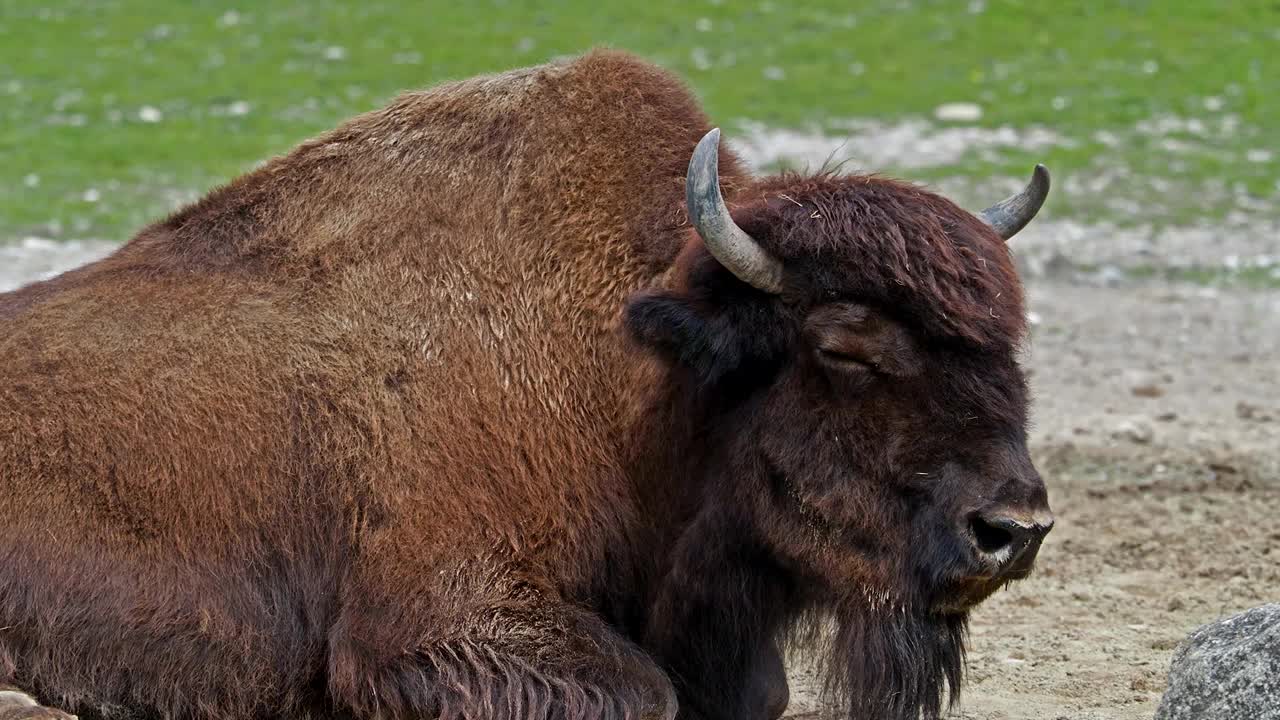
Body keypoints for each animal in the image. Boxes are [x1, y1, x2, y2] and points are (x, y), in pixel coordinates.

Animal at [0, 51, 1054, 717]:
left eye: (1007, 346)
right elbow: (643, 695)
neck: (634, 368)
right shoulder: (441, 618)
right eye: (843, 347)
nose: (1013, 528)